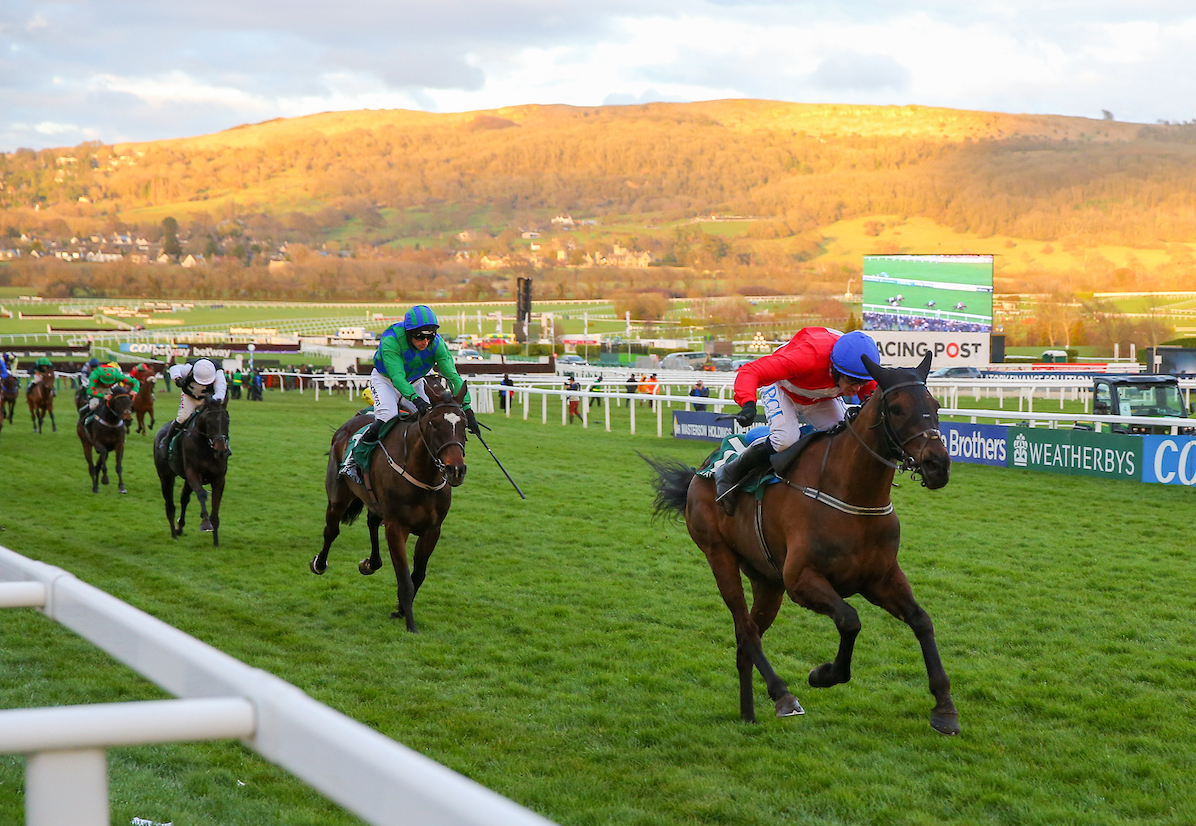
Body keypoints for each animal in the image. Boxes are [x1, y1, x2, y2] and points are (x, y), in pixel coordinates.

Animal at [151, 399, 228, 545]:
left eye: (227, 420)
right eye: (209, 422)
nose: (221, 450)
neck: (206, 446)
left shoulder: (219, 479)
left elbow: (215, 511)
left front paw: (216, 543)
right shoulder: (193, 473)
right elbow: (202, 494)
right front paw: (205, 523)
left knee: (184, 499)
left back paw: (179, 527)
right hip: (166, 477)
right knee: (170, 506)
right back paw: (174, 535)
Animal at [310, 377, 468, 631]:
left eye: (464, 424)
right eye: (434, 424)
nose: (456, 470)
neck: (423, 475)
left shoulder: (432, 530)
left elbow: (418, 576)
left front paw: (401, 611)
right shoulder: (396, 527)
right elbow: (405, 579)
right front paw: (411, 626)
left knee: (372, 522)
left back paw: (371, 563)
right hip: (338, 496)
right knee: (331, 530)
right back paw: (320, 563)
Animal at [650, 353, 956, 736]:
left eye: (936, 405)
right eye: (898, 409)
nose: (937, 464)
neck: (853, 495)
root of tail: (703, 469)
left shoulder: (880, 578)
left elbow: (921, 620)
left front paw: (944, 707)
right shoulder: (800, 580)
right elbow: (850, 619)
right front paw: (824, 674)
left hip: (767, 581)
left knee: (745, 639)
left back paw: (748, 714)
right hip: (719, 556)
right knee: (746, 630)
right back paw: (782, 695)